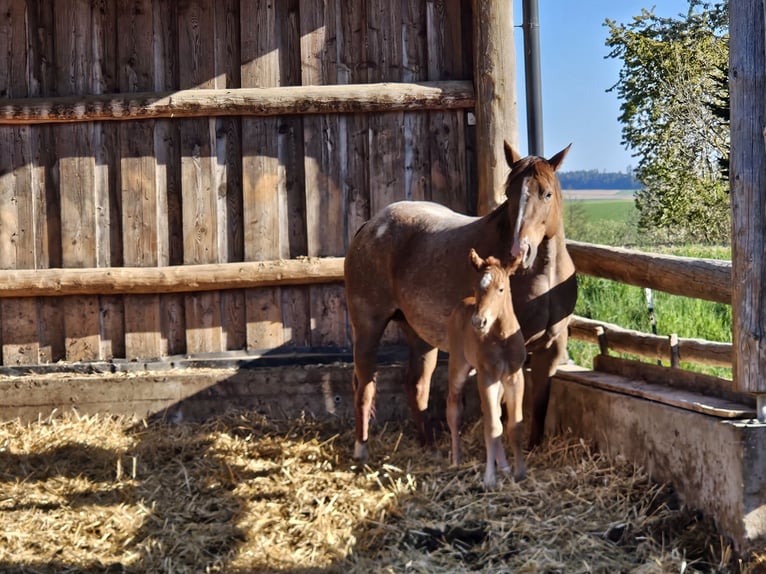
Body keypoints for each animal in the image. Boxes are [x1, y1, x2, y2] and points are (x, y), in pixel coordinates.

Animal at [344, 142, 576, 462]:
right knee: (364, 387)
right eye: (509, 193)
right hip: (367, 326)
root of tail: (371, 225)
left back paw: (430, 448)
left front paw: (533, 449)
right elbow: (506, 407)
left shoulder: (551, 348)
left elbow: (539, 403)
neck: (545, 280)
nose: (519, 251)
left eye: (547, 193)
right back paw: (362, 450)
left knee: (416, 386)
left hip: (419, 335)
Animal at [446, 248, 526, 488]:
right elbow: (492, 427)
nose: (478, 322)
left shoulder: (514, 376)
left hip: (498, 383)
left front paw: (519, 472)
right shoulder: (487, 376)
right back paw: (456, 460)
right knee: (454, 406)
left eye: (500, 289)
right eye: (476, 287)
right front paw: (489, 478)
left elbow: (513, 424)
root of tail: (462, 303)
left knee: (495, 413)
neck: (501, 338)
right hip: (459, 364)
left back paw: (506, 467)